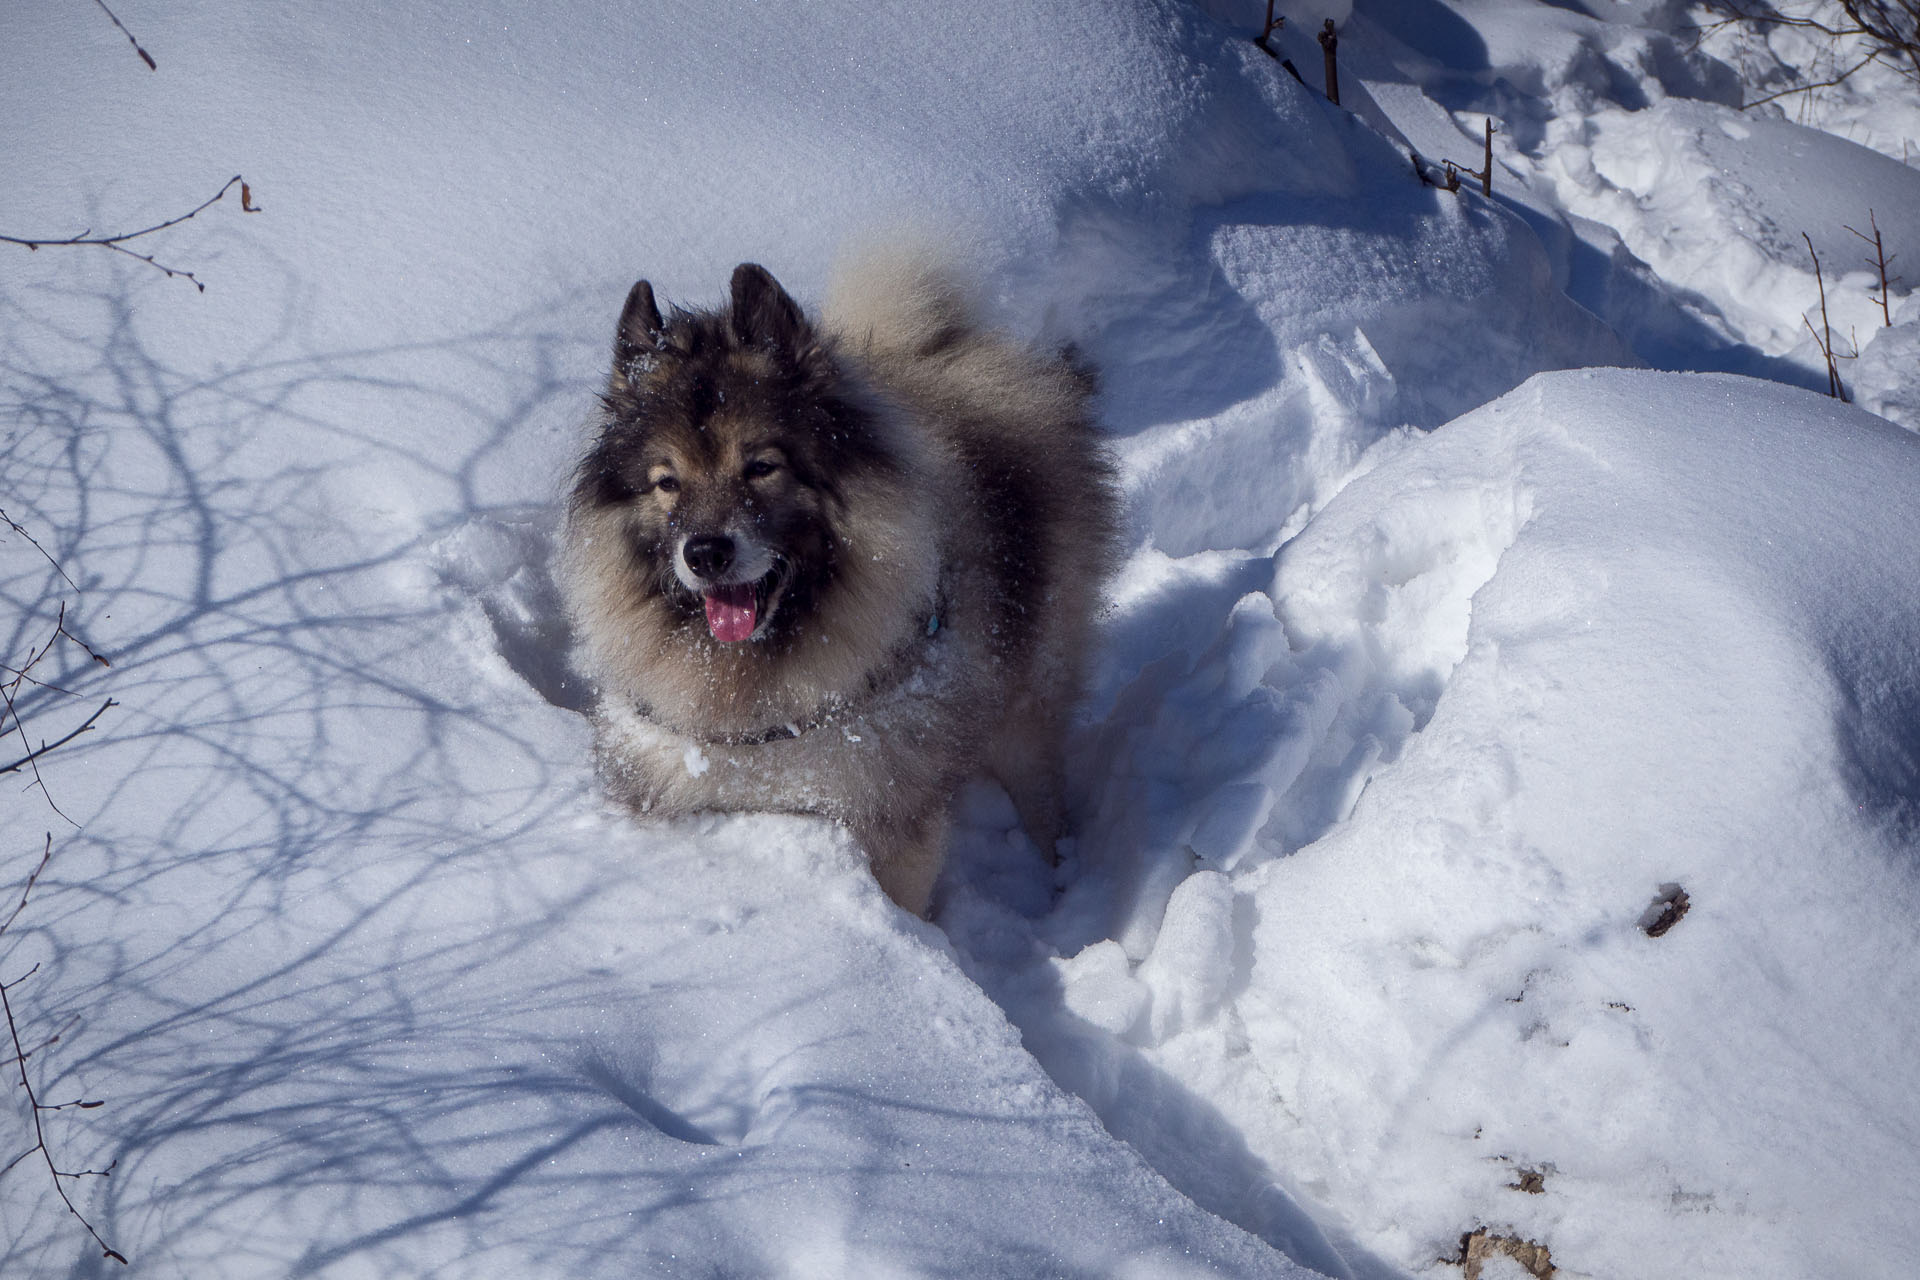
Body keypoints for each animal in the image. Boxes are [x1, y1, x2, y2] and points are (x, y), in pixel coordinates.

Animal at [556, 253, 1121, 909]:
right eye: (666, 481)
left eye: (762, 467)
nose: (705, 552)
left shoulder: (893, 828)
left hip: (1028, 699)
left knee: (1042, 789)